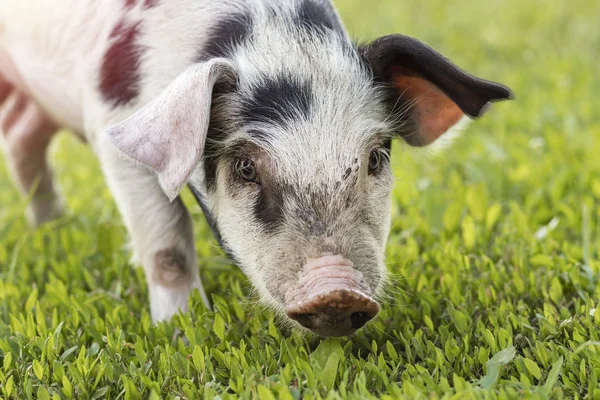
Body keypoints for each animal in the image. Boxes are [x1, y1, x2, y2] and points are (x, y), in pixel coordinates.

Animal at [1, 0, 510, 338]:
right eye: (246, 167)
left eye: (376, 157)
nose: (336, 288)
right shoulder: (117, 128)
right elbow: (167, 248)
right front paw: (182, 331)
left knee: (24, 134)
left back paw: (51, 228)